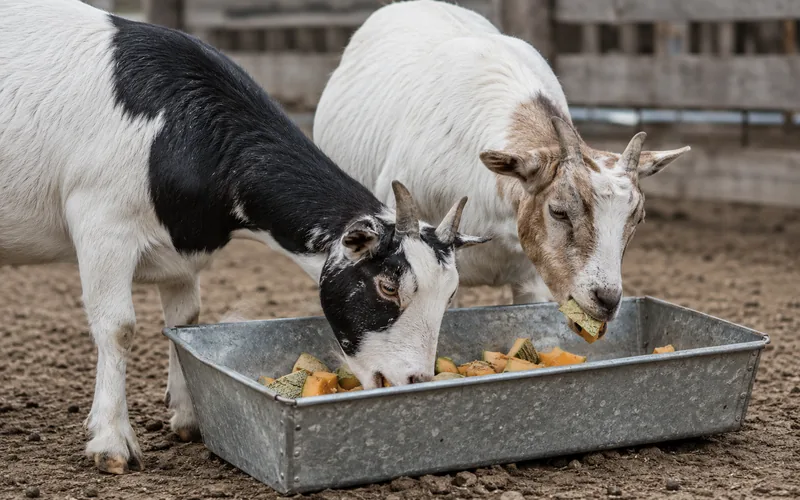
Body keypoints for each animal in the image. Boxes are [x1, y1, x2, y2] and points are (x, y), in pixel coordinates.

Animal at [0, 0, 487, 474]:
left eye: (450, 295)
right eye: (387, 286)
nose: (415, 380)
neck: (176, 128)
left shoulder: (180, 248)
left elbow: (184, 321)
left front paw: (188, 417)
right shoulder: (103, 224)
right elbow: (118, 328)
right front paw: (111, 441)